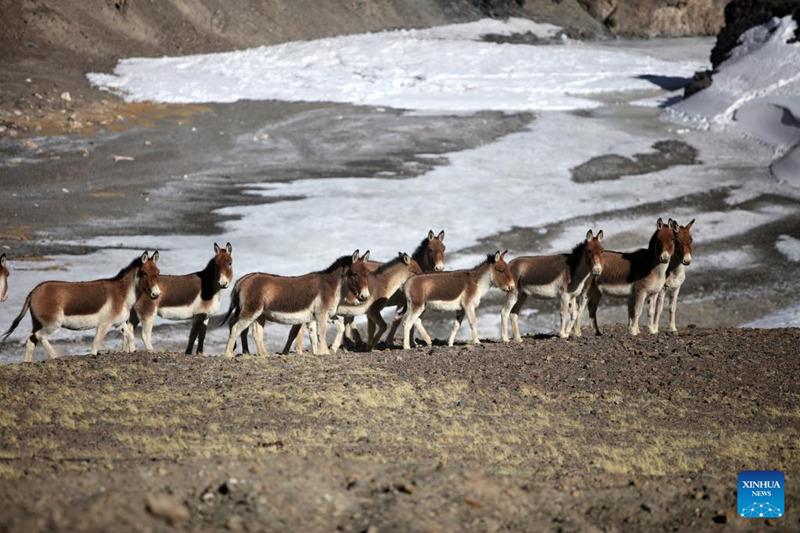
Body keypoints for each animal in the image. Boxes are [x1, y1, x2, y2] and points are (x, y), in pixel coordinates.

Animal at [2, 250, 162, 362]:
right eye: (144, 272)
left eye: (158, 272)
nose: (156, 294)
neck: (121, 294)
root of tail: (33, 292)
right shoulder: (104, 325)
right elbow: (95, 345)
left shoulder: (119, 323)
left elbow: (130, 337)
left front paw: (133, 352)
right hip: (52, 324)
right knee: (39, 336)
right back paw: (55, 356)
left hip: (37, 323)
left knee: (30, 341)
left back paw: (27, 363)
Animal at [222, 249, 372, 358]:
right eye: (354, 273)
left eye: (367, 274)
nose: (365, 296)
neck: (331, 285)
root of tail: (244, 280)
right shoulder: (321, 314)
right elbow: (321, 333)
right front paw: (325, 352)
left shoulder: (327, 315)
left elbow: (339, 327)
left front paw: (331, 349)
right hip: (251, 312)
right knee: (235, 328)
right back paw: (228, 354)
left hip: (260, 315)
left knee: (256, 333)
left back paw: (264, 355)